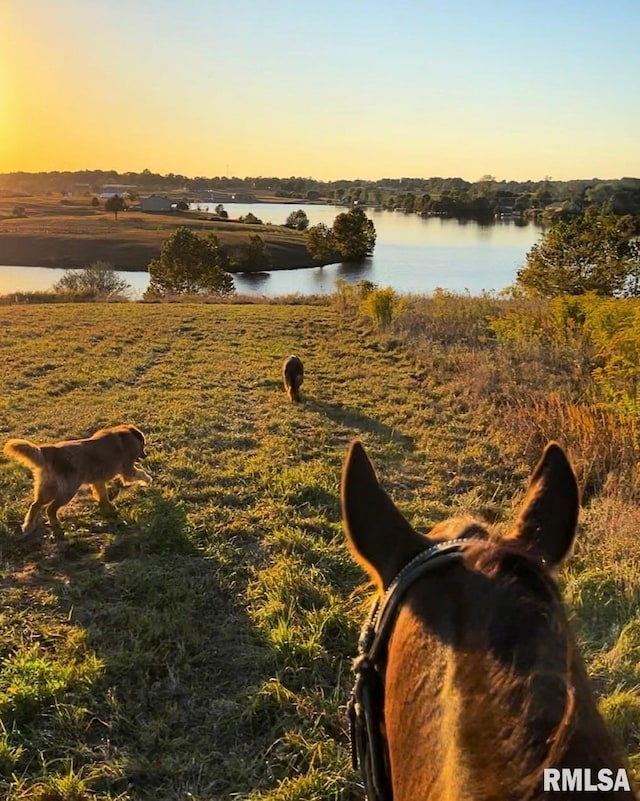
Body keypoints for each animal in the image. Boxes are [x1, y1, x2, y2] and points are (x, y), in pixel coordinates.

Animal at [4, 422, 151, 536]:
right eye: (143, 444)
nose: (145, 455)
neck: (125, 435)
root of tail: (51, 450)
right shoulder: (128, 471)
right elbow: (141, 473)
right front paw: (148, 480)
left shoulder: (98, 480)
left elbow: (103, 495)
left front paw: (108, 507)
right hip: (68, 490)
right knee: (50, 509)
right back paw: (56, 524)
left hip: (48, 489)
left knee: (35, 505)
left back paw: (28, 526)